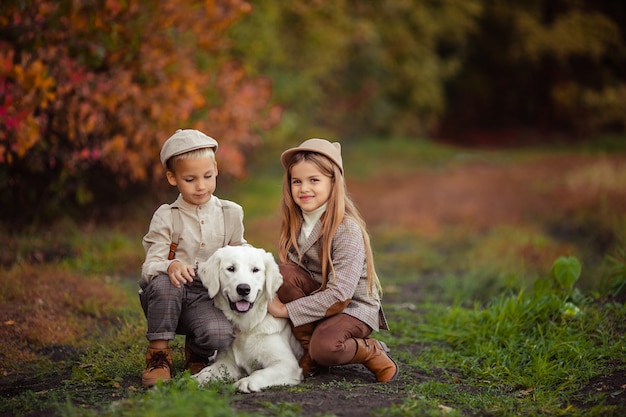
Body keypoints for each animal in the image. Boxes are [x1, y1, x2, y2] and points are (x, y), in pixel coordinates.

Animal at [194, 245, 304, 392]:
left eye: (255, 270)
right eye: (231, 268)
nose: (243, 289)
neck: (247, 325)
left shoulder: (287, 364)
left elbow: (260, 372)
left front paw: (246, 381)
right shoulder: (227, 362)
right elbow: (208, 372)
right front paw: (194, 379)